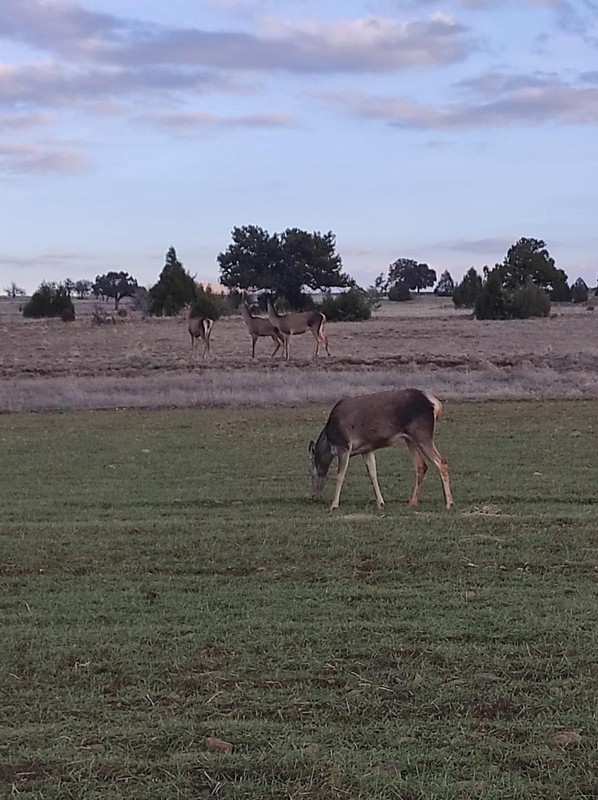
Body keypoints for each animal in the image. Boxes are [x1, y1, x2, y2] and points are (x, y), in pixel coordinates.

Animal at [310, 390, 454, 512]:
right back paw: (412, 503)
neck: (330, 443)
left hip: (422, 433)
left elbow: (340, 475)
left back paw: (449, 503)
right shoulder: (366, 449)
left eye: (311, 474)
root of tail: (436, 404)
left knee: (441, 462)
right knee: (421, 466)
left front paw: (334, 504)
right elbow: (373, 474)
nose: (314, 498)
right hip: (410, 439)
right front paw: (380, 503)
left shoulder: (344, 446)